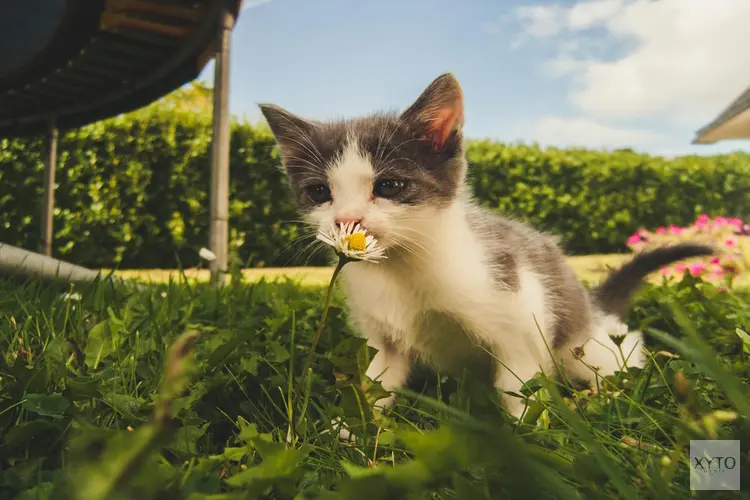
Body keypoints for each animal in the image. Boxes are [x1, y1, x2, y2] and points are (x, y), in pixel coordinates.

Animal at [260, 72, 716, 420]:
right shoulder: (384, 337)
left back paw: (608, 394)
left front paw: (529, 442)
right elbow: (377, 382)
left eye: (388, 186)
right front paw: (348, 431)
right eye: (320, 192)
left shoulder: (520, 312)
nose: (346, 221)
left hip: (583, 343)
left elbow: (518, 387)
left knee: (618, 352)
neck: (403, 268)